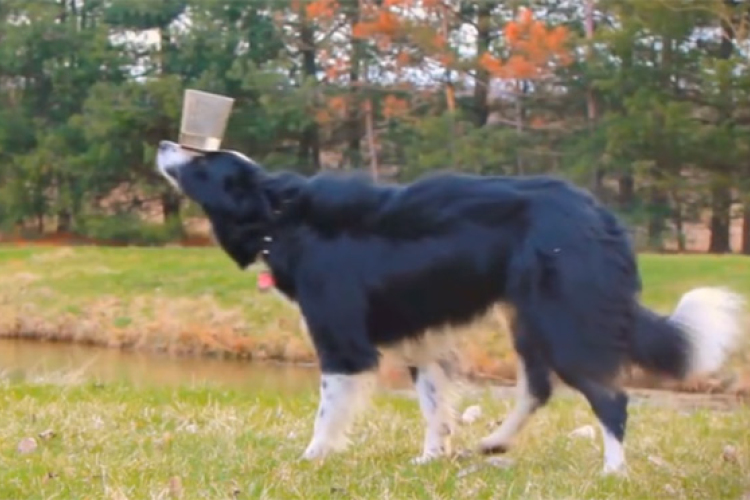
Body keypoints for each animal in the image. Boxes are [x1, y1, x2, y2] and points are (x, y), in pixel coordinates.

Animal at [157, 140, 748, 472]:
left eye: (205, 161)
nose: (165, 142)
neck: (279, 216)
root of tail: (599, 215)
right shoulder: (422, 340)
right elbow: (434, 405)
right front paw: (430, 459)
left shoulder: (342, 344)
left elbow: (328, 411)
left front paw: (311, 459)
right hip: (529, 318)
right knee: (537, 388)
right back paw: (494, 443)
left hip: (562, 320)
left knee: (610, 398)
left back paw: (613, 471)